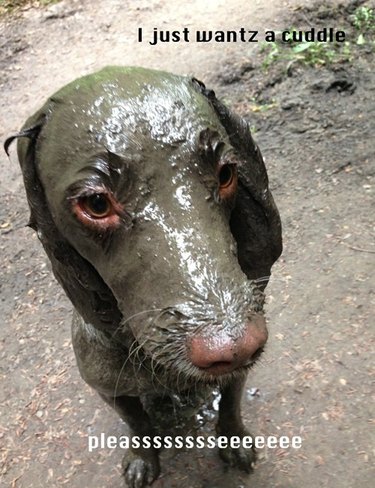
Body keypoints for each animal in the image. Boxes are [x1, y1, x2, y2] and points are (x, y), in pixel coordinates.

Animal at [5, 67, 282, 488]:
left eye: (226, 174)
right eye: (96, 204)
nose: (233, 346)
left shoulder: (237, 376)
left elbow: (231, 406)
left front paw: (234, 442)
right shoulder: (110, 389)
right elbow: (137, 423)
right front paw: (142, 459)